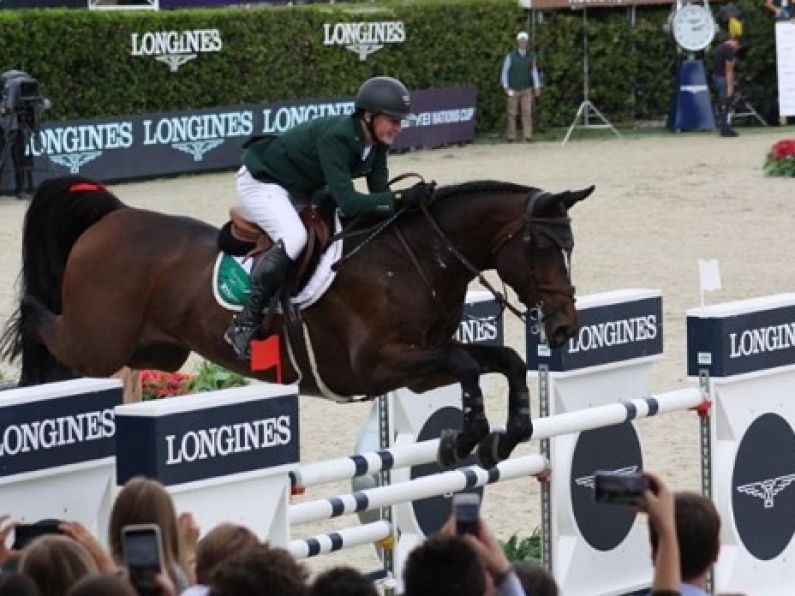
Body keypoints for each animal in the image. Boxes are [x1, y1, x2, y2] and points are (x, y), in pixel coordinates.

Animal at [0, 177, 592, 470]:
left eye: (571, 246)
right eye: (541, 247)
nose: (565, 327)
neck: (415, 258)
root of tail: (114, 218)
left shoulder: (422, 367)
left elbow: (504, 361)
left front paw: (505, 437)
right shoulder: (380, 365)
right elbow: (470, 365)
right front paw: (462, 440)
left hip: (155, 351)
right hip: (95, 342)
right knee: (40, 322)